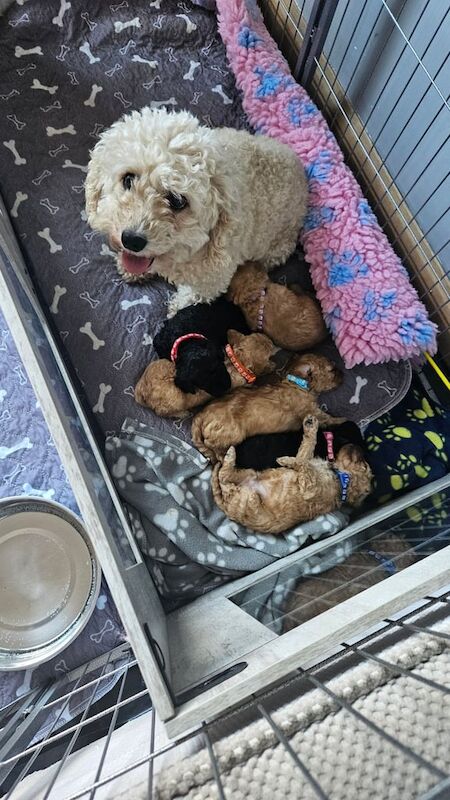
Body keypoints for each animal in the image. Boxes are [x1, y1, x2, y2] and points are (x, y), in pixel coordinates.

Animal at [85, 108, 306, 314]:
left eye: (177, 201)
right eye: (128, 179)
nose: (131, 240)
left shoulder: (213, 279)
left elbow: (193, 295)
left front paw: (177, 308)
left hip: (276, 249)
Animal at [134, 330, 276, 418]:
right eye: (269, 351)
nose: (271, 340)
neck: (236, 360)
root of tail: (141, 391)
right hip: (173, 402)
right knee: (161, 412)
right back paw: (182, 414)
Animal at [191, 352, 344, 462]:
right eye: (332, 370)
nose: (343, 374)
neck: (298, 383)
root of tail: (201, 414)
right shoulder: (312, 412)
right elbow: (329, 418)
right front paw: (343, 419)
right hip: (232, 434)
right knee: (212, 445)